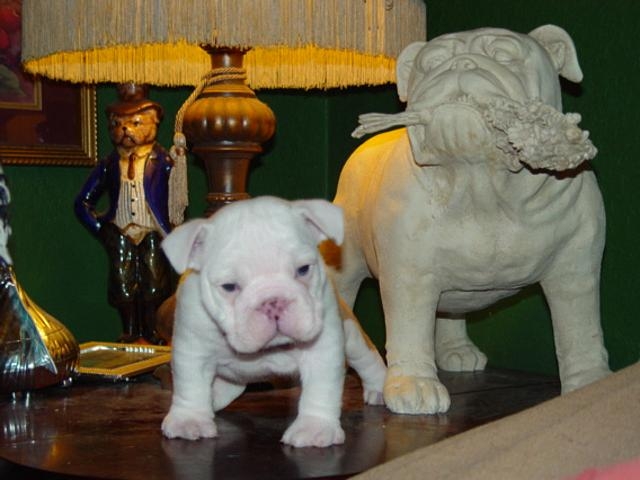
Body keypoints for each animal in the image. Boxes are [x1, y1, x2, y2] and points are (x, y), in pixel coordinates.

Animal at [160, 194, 384, 446]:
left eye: (303, 269)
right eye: (229, 286)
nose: (273, 302)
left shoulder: (323, 349)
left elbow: (321, 389)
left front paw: (315, 428)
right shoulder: (191, 349)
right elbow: (191, 386)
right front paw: (189, 420)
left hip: (351, 334)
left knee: (367, 357)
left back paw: (380, 387)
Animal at [336, 26, 608, 414]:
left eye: (504, 55)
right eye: (431, 63)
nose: (459, 64)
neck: (480, 184)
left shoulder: (576, 268)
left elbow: (580, 329)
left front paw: (591, 384)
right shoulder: (409, 274)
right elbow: (410, 327)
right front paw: (413, 385)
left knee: (448, 312)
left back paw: (457, 352)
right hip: (347, 260)